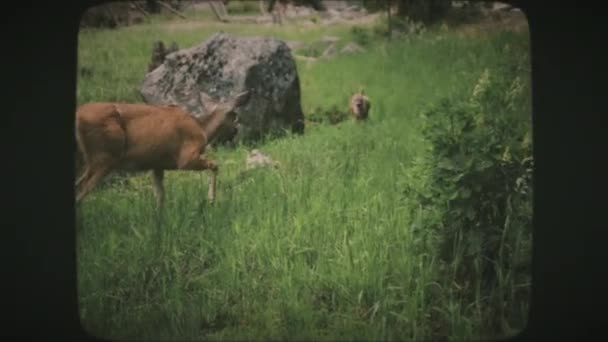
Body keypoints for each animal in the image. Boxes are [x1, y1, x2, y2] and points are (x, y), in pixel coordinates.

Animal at [74, 89, 252, 208]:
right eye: (235, 116)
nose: (236, 131)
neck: (202, 129)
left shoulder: (157, 165)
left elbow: (160, 198)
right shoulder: (186, 157)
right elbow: (215, 165)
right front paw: (211, 200)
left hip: (93, 159)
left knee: (78, 185)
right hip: (105, 156)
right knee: (81, 190)